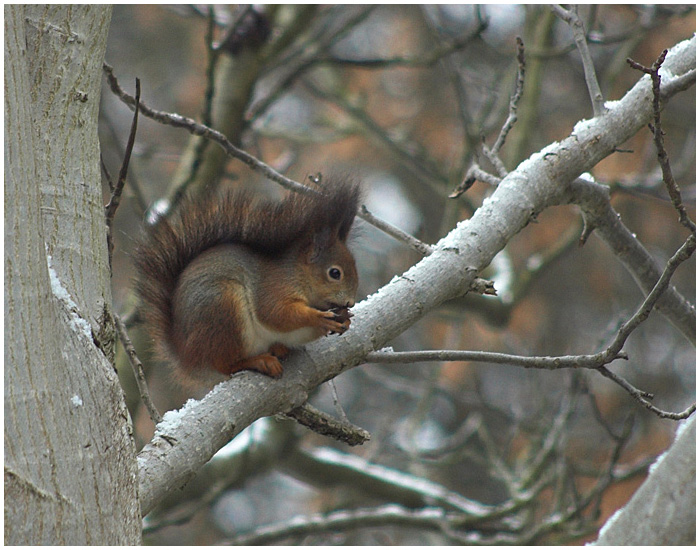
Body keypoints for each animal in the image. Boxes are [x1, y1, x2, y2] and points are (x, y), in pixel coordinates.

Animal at [134, 179, 360, 390]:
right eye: (335, 273)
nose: (350, 302)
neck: (299, 275)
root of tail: (186, 356)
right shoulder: (273, 287)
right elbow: (276, 314)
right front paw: (318, 317)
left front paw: (345, 319)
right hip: (222, 309)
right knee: (226, 364)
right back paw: (260, 361)